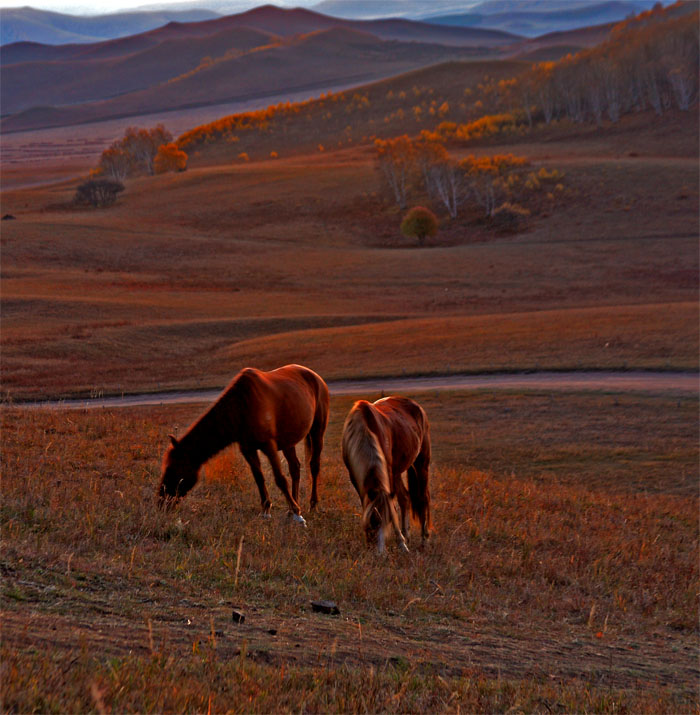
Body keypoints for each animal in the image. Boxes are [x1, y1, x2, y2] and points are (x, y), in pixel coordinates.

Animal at [160, 364, 330, 524]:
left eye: (173, 469)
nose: (162, 503)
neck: (242, 406)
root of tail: (316, 377)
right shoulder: (248, 449)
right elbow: (259, 477)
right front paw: (266, 511)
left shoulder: (269, 446)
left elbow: (280, 479)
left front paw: (298, 515)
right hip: (288, 441)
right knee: (295, 468)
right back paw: (291, 509)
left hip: (317, 431)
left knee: (314, 465)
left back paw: (312, 505)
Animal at [340, 398, 432, 552]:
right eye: (371, 524)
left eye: (387, 521)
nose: (379, 554)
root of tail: (416, 406)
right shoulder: (356, 478)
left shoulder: (387, 475)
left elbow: (392, 507)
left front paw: (402, 544)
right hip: (396, 472)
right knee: (405, 498)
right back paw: (407, 535)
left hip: (420, 465)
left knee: (422, 499)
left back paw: (424, 541)